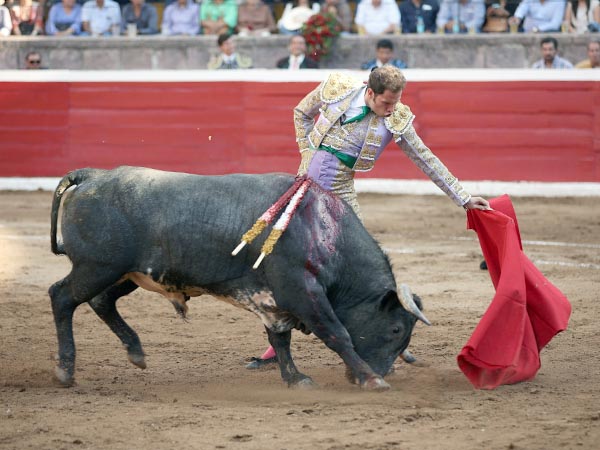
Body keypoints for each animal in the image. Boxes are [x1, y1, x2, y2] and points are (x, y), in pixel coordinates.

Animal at [49, 166, 428, 390]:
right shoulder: (303, 292)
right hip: (97, 268)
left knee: (101, 301)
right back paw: (66, 370)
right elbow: (337, 334)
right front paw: (371, 380)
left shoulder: (273, 302)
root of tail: (93, 176)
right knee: (61, 297)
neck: (321, 230)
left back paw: (136, 352)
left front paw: (294, 378)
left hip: (124, 273)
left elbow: (280, 339)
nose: (384, 371)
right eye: (396, 329)